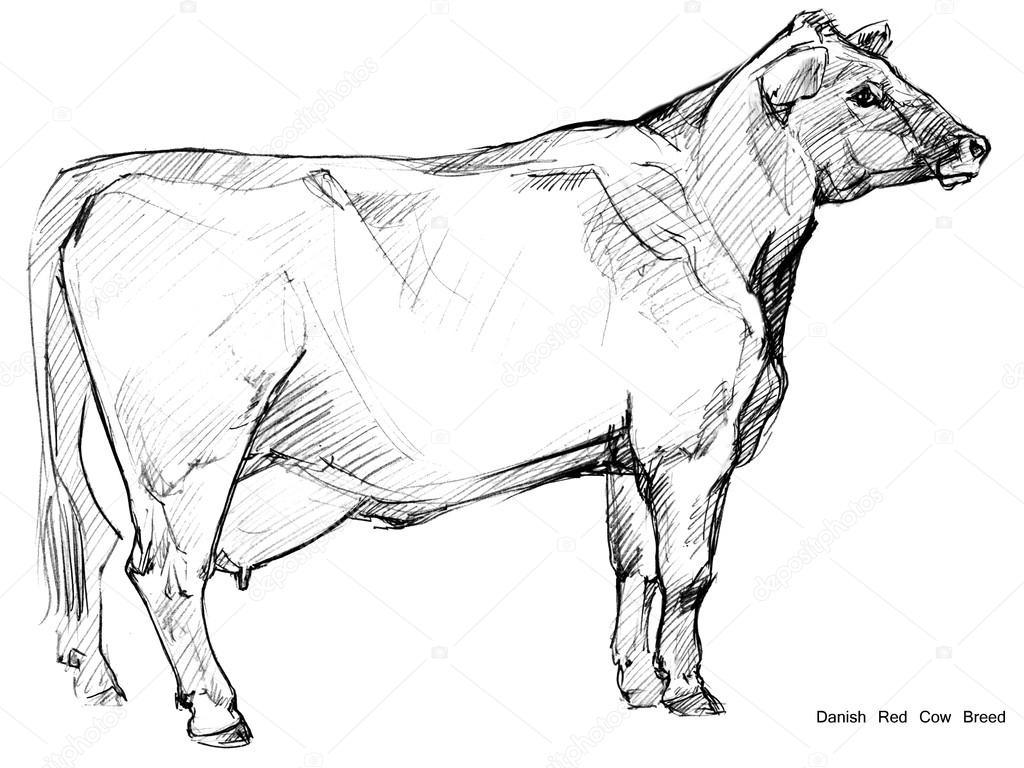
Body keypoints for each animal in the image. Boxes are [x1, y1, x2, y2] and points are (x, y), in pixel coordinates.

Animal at [30, 11, 988, 747]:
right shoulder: (691, 438)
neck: (733, 237)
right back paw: (217, 713)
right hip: (190, 451)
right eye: (865, 93)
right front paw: (690, 693)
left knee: (95, 542)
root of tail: (106, 172)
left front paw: (638, 686)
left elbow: (634, 566)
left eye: (893, 75)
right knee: (164, 570)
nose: (975, 141)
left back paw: (97, 681)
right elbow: (689, 572)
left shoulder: (626, 451)